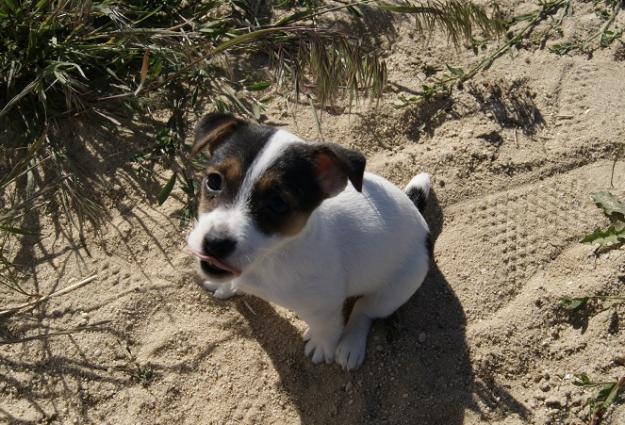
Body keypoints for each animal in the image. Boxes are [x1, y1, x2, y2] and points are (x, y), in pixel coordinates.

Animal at [188, 112, 432, 368]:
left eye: (278, 204)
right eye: (214, 181)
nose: (215, 243)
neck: (272, 256)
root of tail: (415, 210)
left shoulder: (324, 307)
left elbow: (327, 329)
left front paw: (322, 346)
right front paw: (226, 286)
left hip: (394, 290)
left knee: (364, 310)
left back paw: (351, 344)